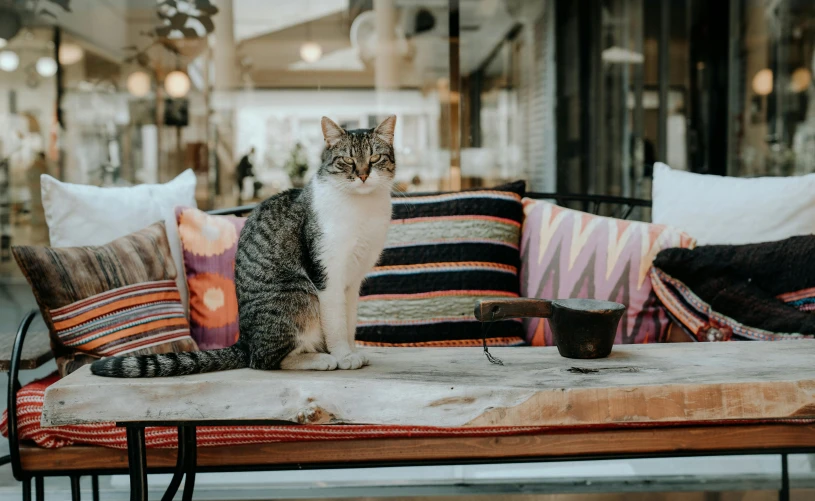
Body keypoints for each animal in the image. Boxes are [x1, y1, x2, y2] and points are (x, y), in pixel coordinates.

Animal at [91, 116, 396, 376]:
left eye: (375, 157)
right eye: (347, 160)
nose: (363, 174)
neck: (363, 209)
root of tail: (244, 340)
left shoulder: (353, 280)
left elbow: (349, 321)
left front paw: (353, 350)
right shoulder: (328, 276)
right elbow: (336, 324)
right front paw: (343, 355)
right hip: (299, 294)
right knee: (265, 360)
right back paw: (320, 359)